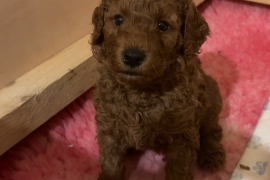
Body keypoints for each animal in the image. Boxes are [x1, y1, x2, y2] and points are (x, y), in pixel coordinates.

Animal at [90, 0, 226, 179]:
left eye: (163, 25)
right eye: (118, 19)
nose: (133, 57)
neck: (141, 90)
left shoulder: (182, 135)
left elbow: (179, 170)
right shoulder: (109, 127)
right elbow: (112, 163)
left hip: (212, 97)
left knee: (210, 129)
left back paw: (212, 154)